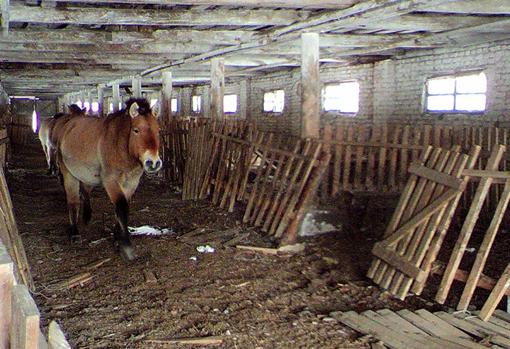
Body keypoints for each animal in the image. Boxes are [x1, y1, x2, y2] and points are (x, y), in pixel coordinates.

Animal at [56, 97, 160, 258]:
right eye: (136, 130)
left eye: (158, 131)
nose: (153, 163)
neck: (120, 146)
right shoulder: (111, 181)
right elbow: (121, 206)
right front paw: (126, 245)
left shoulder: (131, 183)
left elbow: (122, 207)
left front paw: (117, 236)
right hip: (69, 174)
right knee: (73, 201)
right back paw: (74, 233)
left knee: (85, 192)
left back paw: (86, 216)